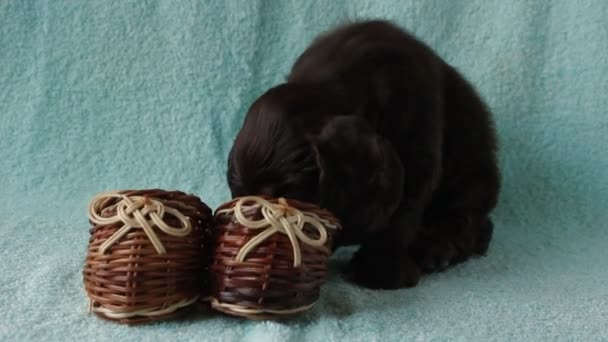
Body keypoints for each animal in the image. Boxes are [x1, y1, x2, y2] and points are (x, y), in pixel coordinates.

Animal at [226, 19, 502, 288]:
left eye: (289, 201)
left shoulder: (417, 145)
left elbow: (401, 213)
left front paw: (379, 270)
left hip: (472, 179)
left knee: (470, 220)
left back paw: (436, 250)